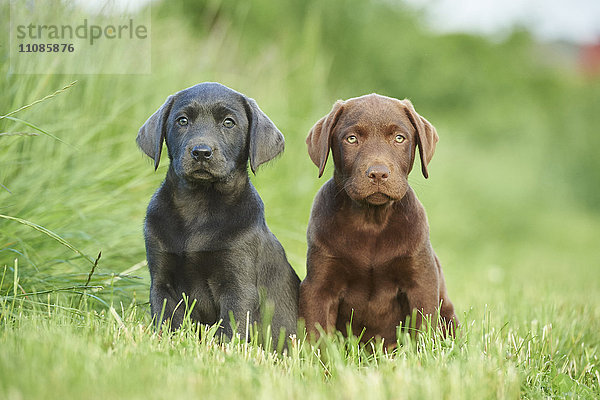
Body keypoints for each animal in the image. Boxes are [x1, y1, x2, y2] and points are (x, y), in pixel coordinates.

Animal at [139, 83, 302, 346]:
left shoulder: (238, 286)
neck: (199, 206)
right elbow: (167, 322)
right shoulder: (162, 282)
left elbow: (230, 330)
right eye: (182, 120)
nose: (201, 152)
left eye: (228, 123)